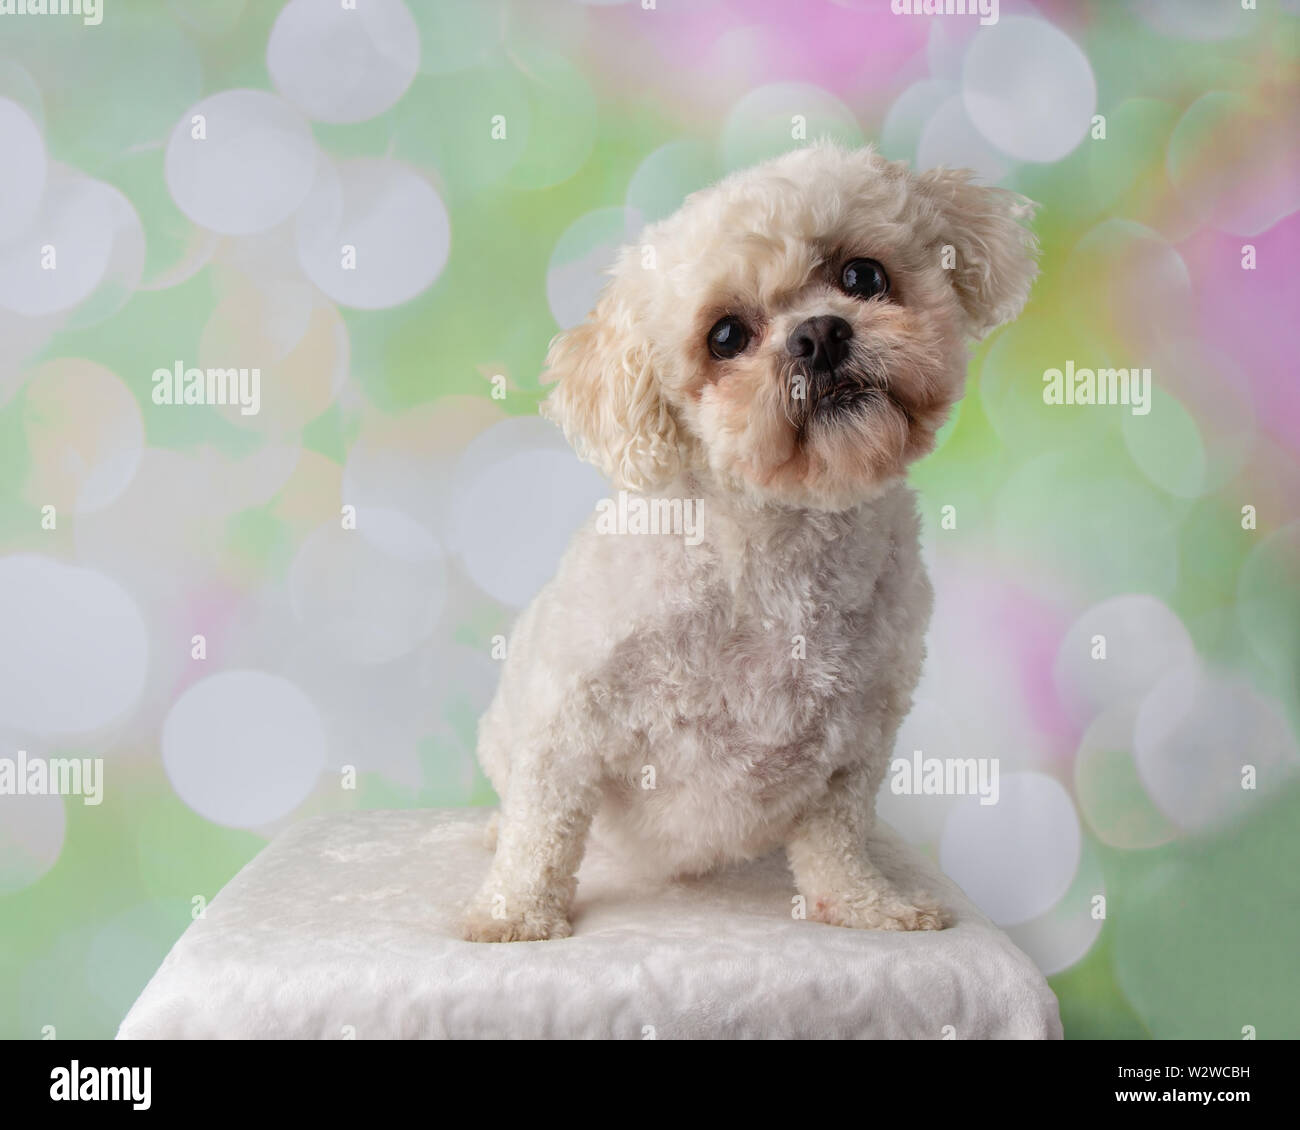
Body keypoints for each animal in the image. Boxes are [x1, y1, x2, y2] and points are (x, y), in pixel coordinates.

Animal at [465, 141, 1034, 941]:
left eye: (864, 276)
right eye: (726, 336)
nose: (820, 334)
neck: (779, 544)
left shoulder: (857, 741)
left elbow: (837, 837)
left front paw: (864, 905)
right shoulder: (568, 714)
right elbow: (543, 825)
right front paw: (513, 914)